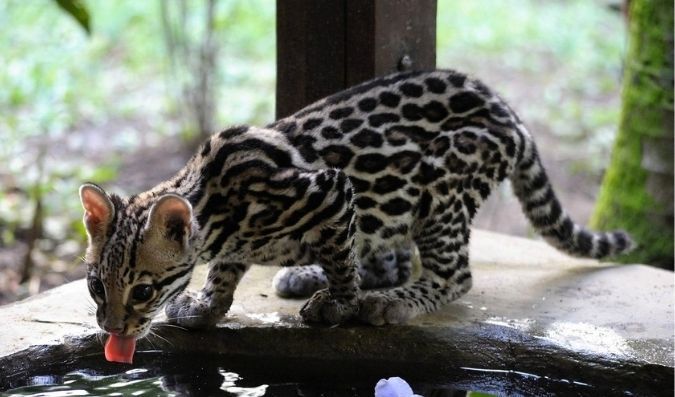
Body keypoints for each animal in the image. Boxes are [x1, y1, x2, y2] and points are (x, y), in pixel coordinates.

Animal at [79, 70, 632, 338]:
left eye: (144, 291)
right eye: (95, 286)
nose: (111, 329)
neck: (215, 207)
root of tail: (509, 111)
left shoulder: (331, 189)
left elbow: (342, 261)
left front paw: (338, 303)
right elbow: (225, 273)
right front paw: (207, 307)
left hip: (442, 179)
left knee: (453, 274)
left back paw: (392, 300)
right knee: (388, 254)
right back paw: (316, 274)